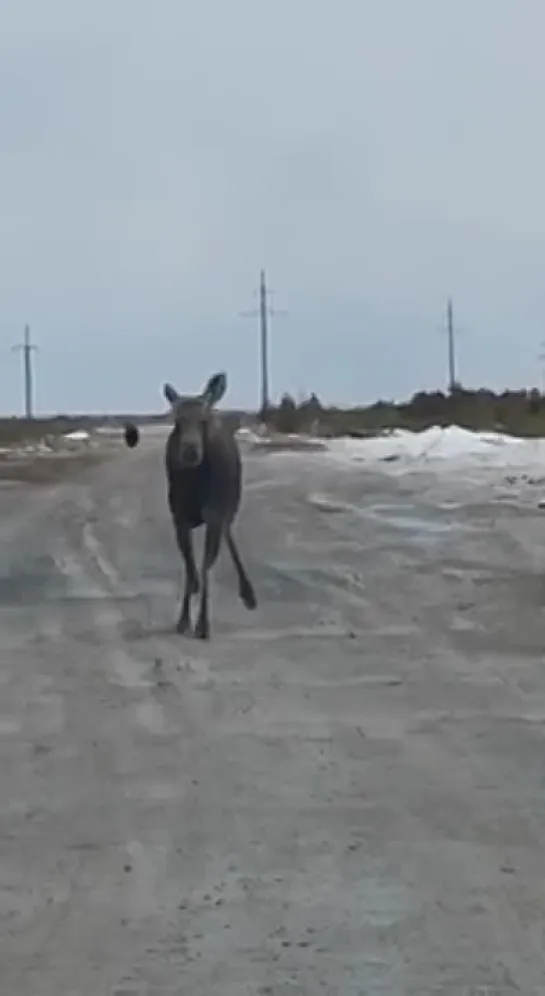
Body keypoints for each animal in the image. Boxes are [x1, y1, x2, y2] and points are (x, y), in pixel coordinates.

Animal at [124, 372, 256, 640]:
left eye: (203, 421)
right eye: (177, 420)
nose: (190, 451)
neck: (196, 483)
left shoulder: (214, 514)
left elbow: (205, 566)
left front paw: (202, 624)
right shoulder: (179, 516)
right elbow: (188, 564)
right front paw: (184, 618)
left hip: (230, 506)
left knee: (228, 535)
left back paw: (247, 592)